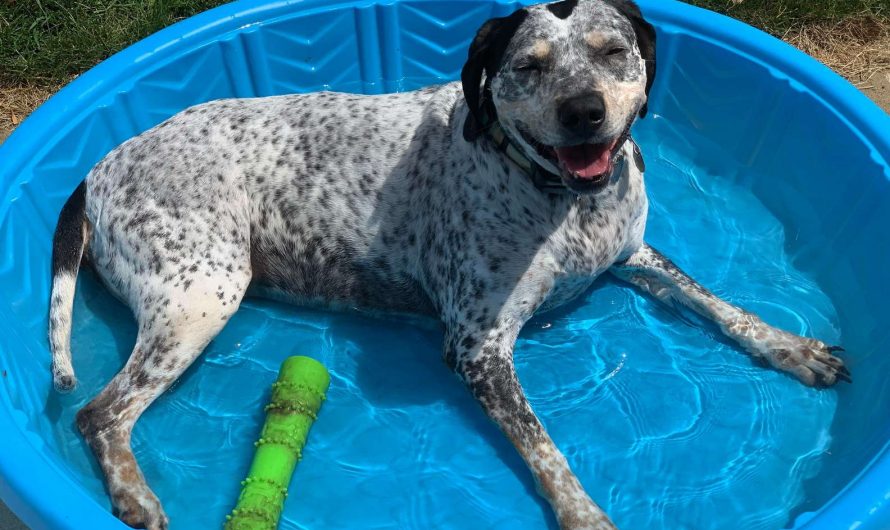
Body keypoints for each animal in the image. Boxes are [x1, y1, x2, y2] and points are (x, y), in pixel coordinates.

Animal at [46, 2, 848, 524]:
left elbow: (722, 305)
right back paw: (134, 496)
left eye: (612, 51)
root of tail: (98, 166)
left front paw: (792, 347)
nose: (584, 112)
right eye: (528, 66)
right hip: (202, 293)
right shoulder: (479, 348)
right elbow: (545, 450)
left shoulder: (633, 257)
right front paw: (585, 515)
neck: (560, 200)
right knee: (98, 413)